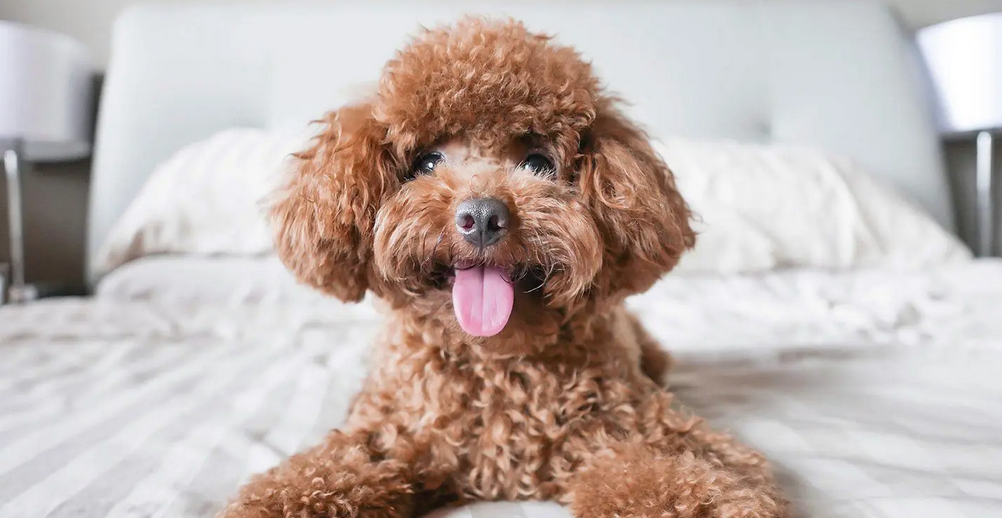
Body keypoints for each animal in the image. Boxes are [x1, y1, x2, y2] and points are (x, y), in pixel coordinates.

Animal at [221, 16, 789, 516]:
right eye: (427, 161)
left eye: (537, 162)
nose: (482, 217)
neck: (496, 364)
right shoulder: (383, 439)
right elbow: (320, 477)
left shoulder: (638, 430)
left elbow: (671, 478)